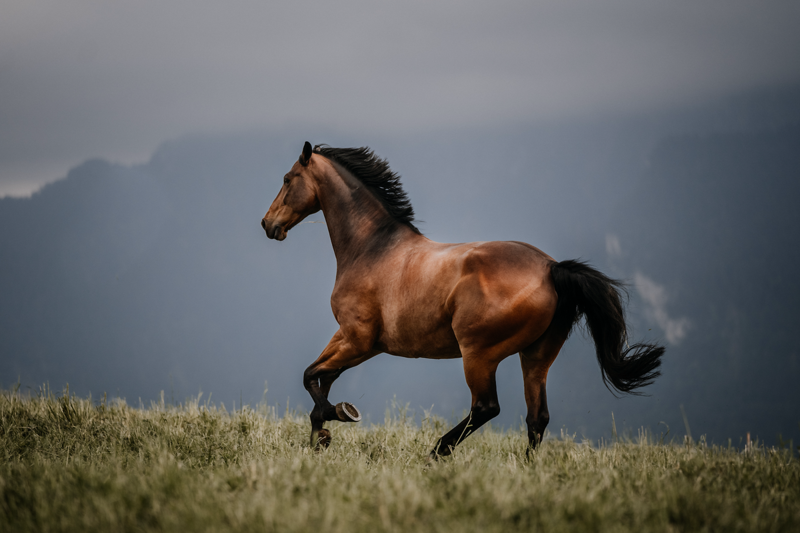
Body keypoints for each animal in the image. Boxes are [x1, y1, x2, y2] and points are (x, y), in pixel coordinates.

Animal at [261, 141, 664, 458]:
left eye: (286, 179)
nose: (267, 224)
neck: (372, 249)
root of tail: (551, 268)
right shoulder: (356, 341)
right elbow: (319, 378)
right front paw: (321, 436)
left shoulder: (357, 339)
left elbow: (311, 377)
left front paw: (338, 415)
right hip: (537, 356)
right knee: (537, 417)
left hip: (479, 355)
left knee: (486, 408)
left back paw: (437, 451)